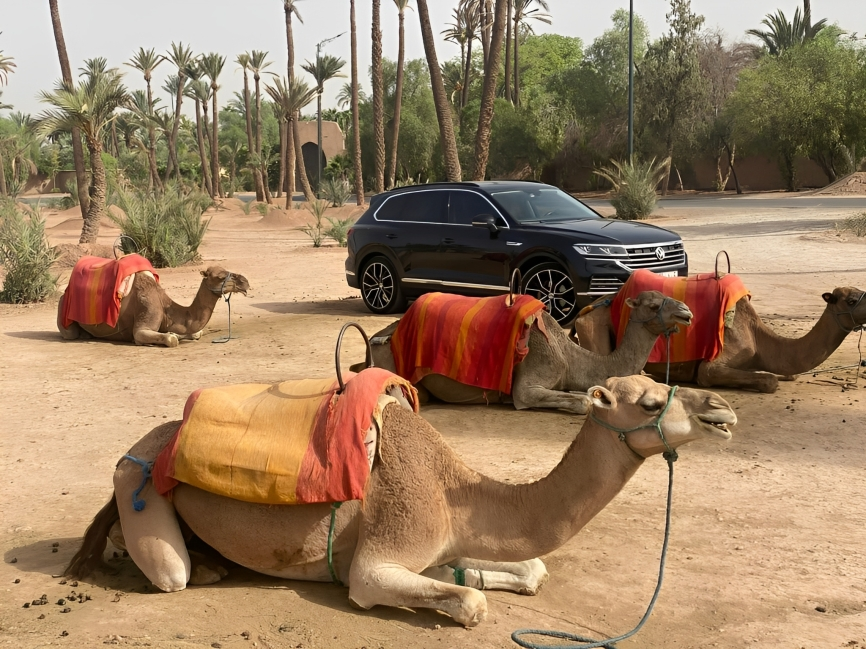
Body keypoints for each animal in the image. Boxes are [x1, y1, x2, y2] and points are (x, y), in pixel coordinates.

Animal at [57, 266, 249, 348]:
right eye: (220, 276)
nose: (245, 282)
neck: (166, 308)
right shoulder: (146, 315)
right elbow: (169, 339)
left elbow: (195, 333)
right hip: (63, 313)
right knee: (70, 333)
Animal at [66, 375, 735, 627]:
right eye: (650, 401)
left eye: (661, 381)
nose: (723, 409)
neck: (452, 490)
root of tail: (139, 449)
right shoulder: (376, 561)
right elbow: (469, 603)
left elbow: (529, 570)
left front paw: (477, 573)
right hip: (134, 484)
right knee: (168, 570)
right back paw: (202, 567)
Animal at [356, 291, 693, 414]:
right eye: (653, 304)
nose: (687, 312)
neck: (570, 358)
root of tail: (376, 338)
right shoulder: (530, 380)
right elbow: (580, 402)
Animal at [571, 286, 866, 393]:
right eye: (851, 300)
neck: (760, 339)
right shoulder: (716, 362)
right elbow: (768, 380)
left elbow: (787, 374)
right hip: (594, 329)